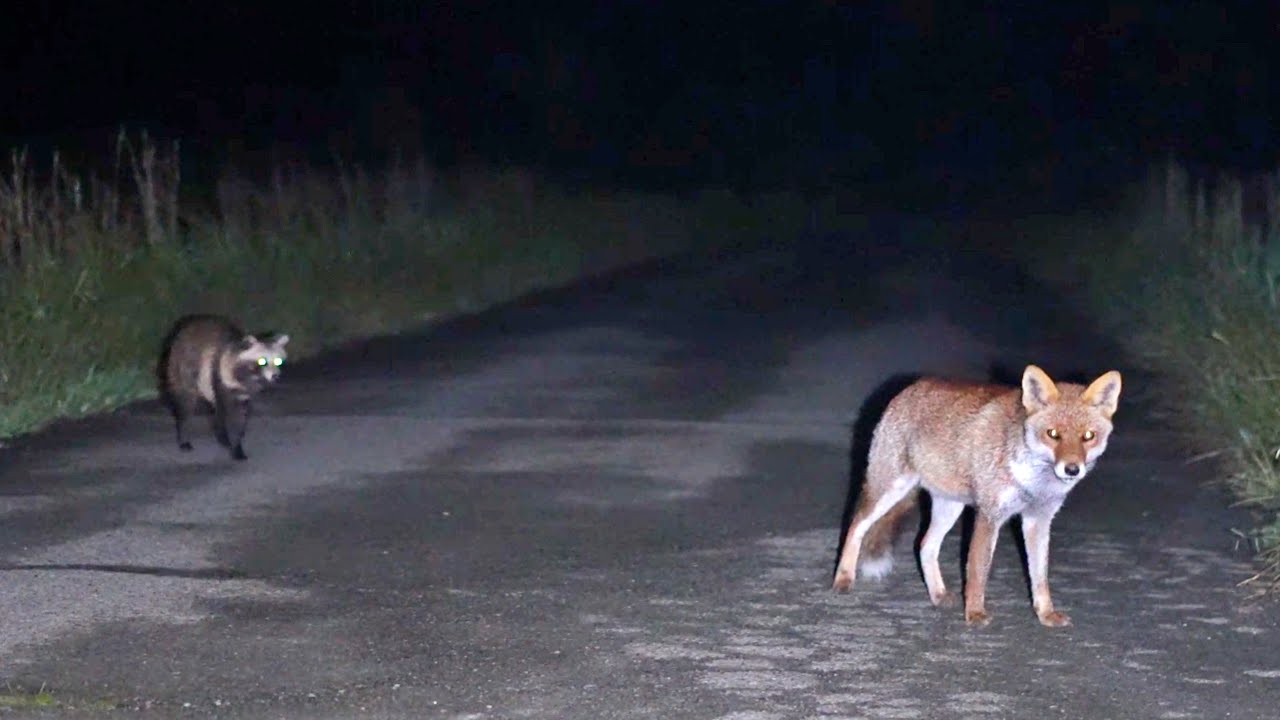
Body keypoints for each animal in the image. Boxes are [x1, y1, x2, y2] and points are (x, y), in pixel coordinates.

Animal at [158, 315, 289, 461]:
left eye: (278, 361)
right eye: (262, 361)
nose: (275, 376)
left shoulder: (243, 394)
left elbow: (240, 417)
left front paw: (237, 444)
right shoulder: (220, 376)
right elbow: (226, 413)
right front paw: (230, 441)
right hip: (182, 367)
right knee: (185, 403)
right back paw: (184, 434)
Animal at [832, 364, 1122, 627]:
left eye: (1088, 436)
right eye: (1053, 434)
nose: (1072, 469)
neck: (1032, 482)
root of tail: (909, 388)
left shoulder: (1038, 520)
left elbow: (1040, 576)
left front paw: (1045, 614)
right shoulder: (989, 515)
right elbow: (977, 571)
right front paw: (975, 614)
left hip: (950, 508)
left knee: (925, 545)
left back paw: (938, 595)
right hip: (890, 490)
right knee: (856, 526)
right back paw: (843, 579)